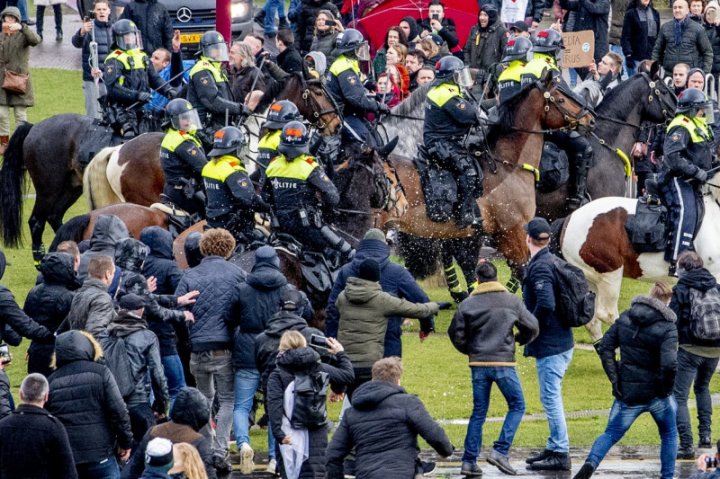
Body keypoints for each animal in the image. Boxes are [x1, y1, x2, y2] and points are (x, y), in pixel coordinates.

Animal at [560, 175, 720, 342]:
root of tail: (570, 219)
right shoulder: (715, 275)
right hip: (610, 274)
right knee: (608, 314)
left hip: (592, 280)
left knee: (592, 322)